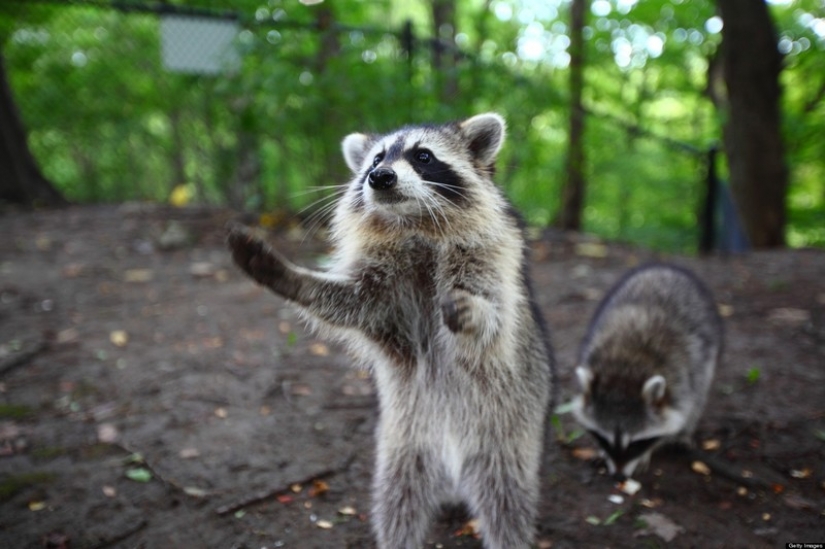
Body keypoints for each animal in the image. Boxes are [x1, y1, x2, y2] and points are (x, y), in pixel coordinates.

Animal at [227, 113, 555, 549]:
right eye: (376, 159)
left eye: (423, 156)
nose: (380, 177)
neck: (414, 225)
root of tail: (452, 473)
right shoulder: (385, 297)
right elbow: (347, 303)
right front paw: (290, 277)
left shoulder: (492, 265)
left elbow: (497, 324)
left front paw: (474, 313)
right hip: (403, 448)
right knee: (398, 504)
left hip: (504, 443)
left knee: (507, 506)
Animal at [571, 263, 721, 480]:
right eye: (604, 439)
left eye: (635, 445)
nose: (618, 476)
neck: (624, 369)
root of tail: (663, 268)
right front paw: (602, 452)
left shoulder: (681, 382)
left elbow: (681, 412)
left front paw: (648, 452)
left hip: (706, 346)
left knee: (700, 392)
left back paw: (685, 432)